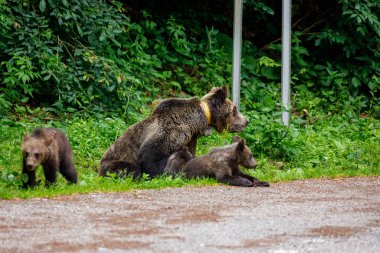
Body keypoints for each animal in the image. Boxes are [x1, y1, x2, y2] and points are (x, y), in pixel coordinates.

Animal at [99, 86, 248, 179]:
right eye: (235, 109)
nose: (246, 121)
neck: (196, 122)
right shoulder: (171, 131)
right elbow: (150, 154)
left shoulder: (191, 138)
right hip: (114, 162)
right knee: (131, 169)